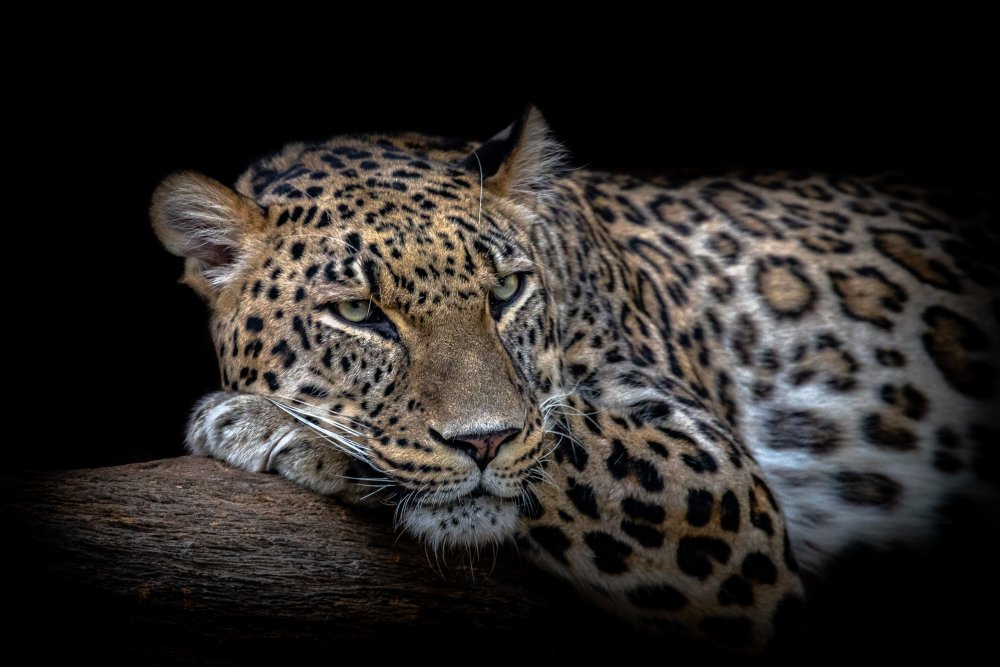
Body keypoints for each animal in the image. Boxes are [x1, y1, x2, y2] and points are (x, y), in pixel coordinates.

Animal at [151, 107, 999, 653]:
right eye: (358, 312)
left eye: (506, 291)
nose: (484, 441)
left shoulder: (717, 481)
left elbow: (564, 438)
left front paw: (272, 424)